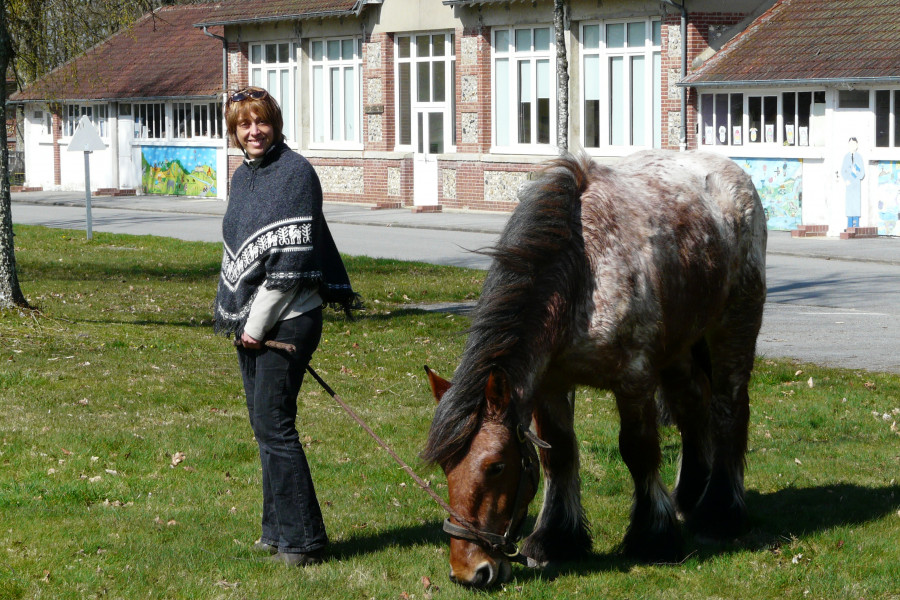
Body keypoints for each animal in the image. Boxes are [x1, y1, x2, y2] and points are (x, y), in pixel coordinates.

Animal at [422, 149, 768, 584]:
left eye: (496, 467)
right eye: (446, 467)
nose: (468, 571)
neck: (584, 273)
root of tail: (733, 172)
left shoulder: (635, 381)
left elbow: (639, 451)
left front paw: (653, 537)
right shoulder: (550, 385)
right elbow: (559, 455)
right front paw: (555, 539)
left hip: (733, 326)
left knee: (728, 410)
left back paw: (720, 513)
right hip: (678, 348)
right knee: (692, 409)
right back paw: (689, 497)